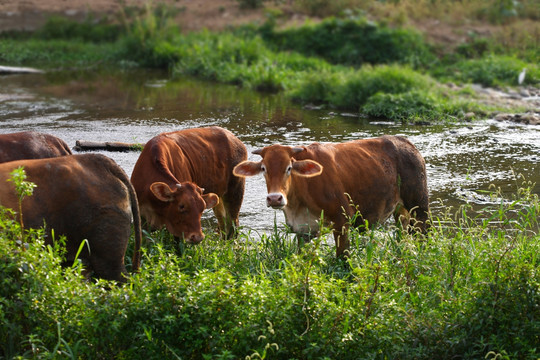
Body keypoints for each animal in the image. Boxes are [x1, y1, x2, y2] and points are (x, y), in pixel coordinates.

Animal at [234, 134, 428, 256]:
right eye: (263, 169)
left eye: (289, 168)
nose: (275, 198)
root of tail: (406, 143)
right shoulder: (302, 231)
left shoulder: (342, 220)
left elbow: (342, 257)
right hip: (401, 212)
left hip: (419, 205)